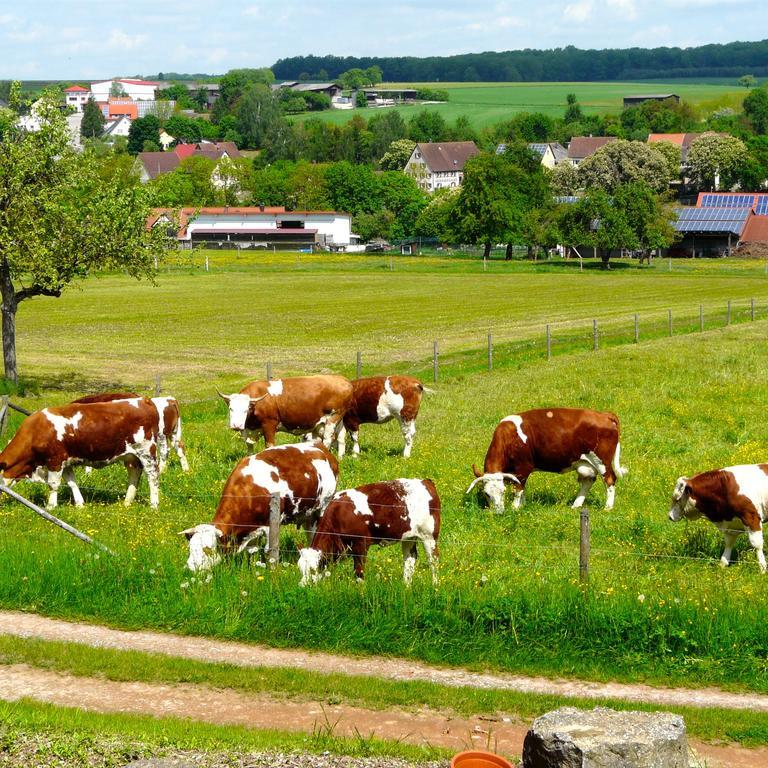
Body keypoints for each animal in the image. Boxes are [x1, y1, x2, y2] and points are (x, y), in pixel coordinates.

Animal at [0, 396, 160, 510]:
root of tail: (144, 399)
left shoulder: (55, 460)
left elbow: (53, 484)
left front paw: (50, 507)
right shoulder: (65, 462)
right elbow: (72, 482)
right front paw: (79, 504)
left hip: (146, 452)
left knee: (153, 476)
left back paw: (154, 505)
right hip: (130, 456)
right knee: (134, 474)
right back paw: (127, 502)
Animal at [182, 440, 338, 572]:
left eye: (207, 549)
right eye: (190, 547)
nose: (191, 567)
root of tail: (320, 445)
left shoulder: (270, 524)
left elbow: (270, 550)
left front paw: (272, 572)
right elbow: (252, 550)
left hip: (323, 506)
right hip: (307, 513)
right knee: (310, 532)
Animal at [219, 376, 354, 456]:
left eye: (246, 410)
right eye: (231, 408)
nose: (236, 425)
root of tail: (342, 380)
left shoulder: (269, 424)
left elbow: (269, 445)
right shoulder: (248, 430)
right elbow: (249, 446)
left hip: (332, 418)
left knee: (327, 439)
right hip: (338, 419)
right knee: (341, 437)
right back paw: (341, 457)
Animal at [296, 476, 438, 584]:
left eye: (312, 570)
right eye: (300, 568)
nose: (303, 586)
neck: (338, 513)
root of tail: (425, 481)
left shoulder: (361, 543)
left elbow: (359, 571)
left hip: (429, 536)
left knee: (433, 561)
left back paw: (435, 586)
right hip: (409, 536)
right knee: (409, 560)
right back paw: (406, 586)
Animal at [468, 404, 624, 512]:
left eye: (503, 491)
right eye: (486, 494)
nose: (498, 512)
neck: (509, 437)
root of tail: (604, 414)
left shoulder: (523, 468)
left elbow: (518, 489)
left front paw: (515, 508)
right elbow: (522, 489)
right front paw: (522, 505)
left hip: (602, 461)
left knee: (610, 480)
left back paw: (607, 508)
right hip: (585, 463)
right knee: (588, 481)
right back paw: (575, 505)